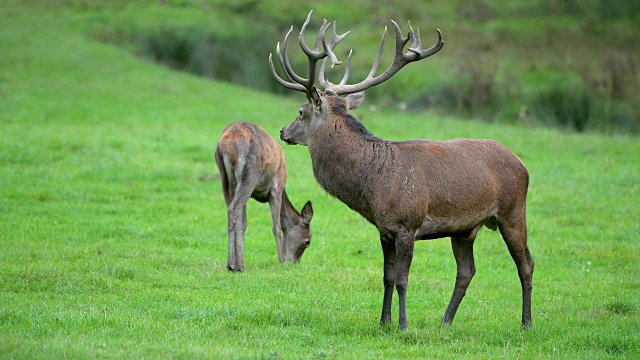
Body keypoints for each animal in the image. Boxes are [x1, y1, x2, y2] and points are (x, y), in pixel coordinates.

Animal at [216, 122, 314, 272]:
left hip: (225, 176)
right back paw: (238, 265)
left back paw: (231, 264)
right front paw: (281, 261)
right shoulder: (276, 189)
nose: (294, 262)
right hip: (250, 173)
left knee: (230, 208)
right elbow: (277, 226)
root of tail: (229, 142)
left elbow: (243, 222)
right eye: (307, 241)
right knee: (234, 207)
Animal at [270, 11, 536, 330]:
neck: (372, 185)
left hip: (513, 211)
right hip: (464, 229)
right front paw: (383, 322)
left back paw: (526, 323)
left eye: (300, 112)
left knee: (526, 263)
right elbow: (386, 277)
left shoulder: (407, 224)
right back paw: (445, 322)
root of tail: (522, 164)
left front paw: (402, 325)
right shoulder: (384, 230)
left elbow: (402, 279)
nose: (283, 131)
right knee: (466, 271)